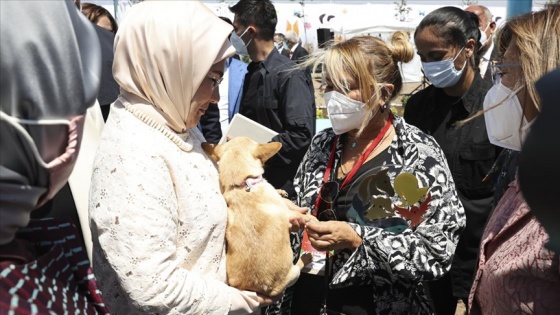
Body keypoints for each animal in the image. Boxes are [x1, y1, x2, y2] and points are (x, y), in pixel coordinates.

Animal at [202, 137, 316, 298]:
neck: (242, 185)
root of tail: (263, 288)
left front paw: (280, 190)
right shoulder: (288, 213)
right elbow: (307, 217)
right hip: (293, 274)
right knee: (298, 268)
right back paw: (305, 259)